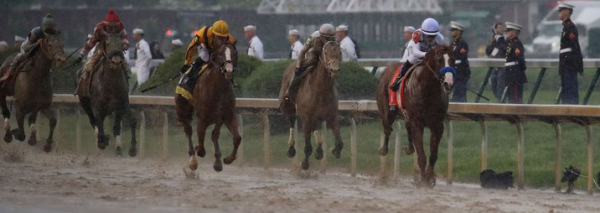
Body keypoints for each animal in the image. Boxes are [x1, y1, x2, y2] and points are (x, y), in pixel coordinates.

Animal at [175, 42, 240, 172]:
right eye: (220, 53)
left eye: (235, 53)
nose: (229, 70)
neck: (217, 89)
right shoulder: (202, 118)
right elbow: (201, 146)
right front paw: (197, 150)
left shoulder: (226, 115)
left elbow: (235, 137)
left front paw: (226, 160)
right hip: (182, 109)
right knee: (188, 130)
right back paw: (192, 160)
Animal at [280, 40, 344, 170]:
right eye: (325, 52)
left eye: (340, 52)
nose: (334, 70)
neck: (320, 90)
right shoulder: (306, 119)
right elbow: (307, 147)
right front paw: (304, 163)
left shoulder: (332, 117)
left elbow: (340, 142)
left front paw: (334, 150)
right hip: (288, 107)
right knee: (291, 122)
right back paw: (291, 149)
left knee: (314, 127)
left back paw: (319, 149)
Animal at [376, 45, 454, 186]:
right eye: (439, 60)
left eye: (453, 59)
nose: (448, 83)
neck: (428, 91)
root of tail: (386, 70)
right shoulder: (418, 124)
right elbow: (422, 156)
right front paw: (423, 181)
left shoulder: (438, 125)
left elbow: (433, 155)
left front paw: (429, 178)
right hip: (387, 110)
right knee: (387, 128)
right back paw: (383, 150)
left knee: (406, 127)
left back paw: (409, 149)